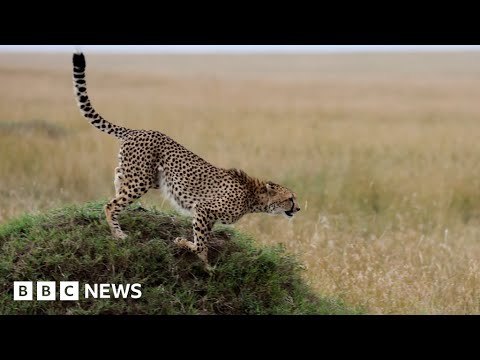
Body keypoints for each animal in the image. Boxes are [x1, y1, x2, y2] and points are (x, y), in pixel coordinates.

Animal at [72, 50, 300, 270]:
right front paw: (188, 247)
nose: (297, 209)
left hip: (141, 176)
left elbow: (204, 241)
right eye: (290, 198)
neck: (253, 197)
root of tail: (138, 130)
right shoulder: (204, 209)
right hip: (141, 180)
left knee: (116, 186)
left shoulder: (208, 216)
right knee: (110, 205)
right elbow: (200, 242)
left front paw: (205, 264)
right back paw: (118, 234)